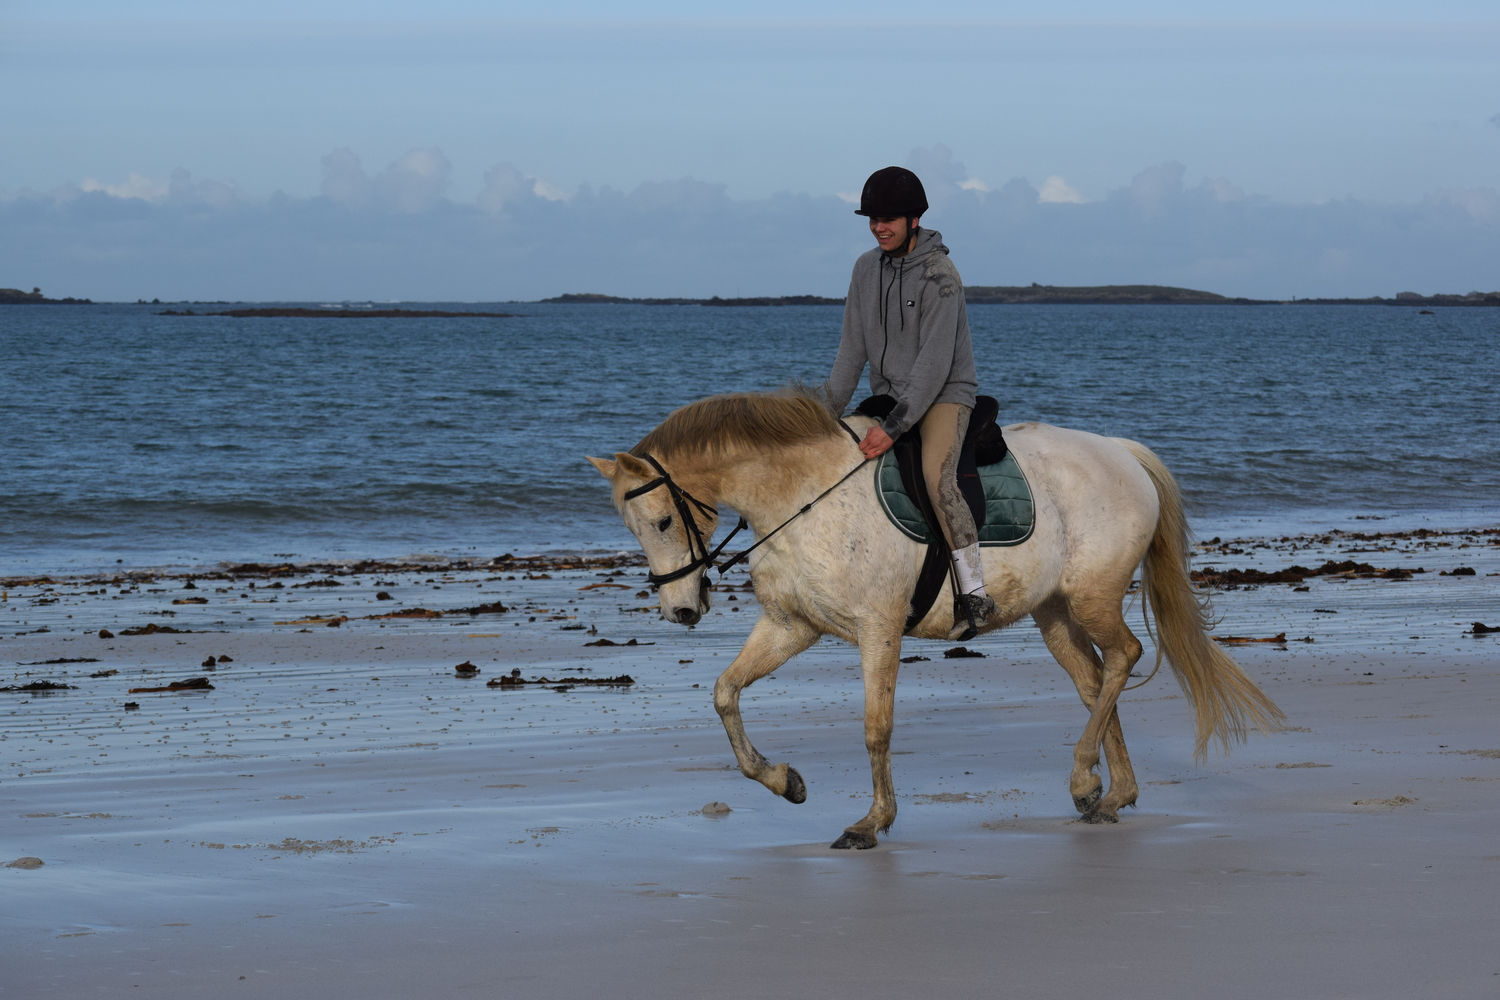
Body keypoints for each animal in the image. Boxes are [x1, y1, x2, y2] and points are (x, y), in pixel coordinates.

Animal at [585, 386, 1278, 851]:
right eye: (636, 529)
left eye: (664, 522)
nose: (680, 610)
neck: (803, 496)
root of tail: (1121, 453)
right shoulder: (791, 625)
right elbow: (725, 692)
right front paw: (786, 782)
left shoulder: (878, 628)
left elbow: (876, 728)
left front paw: (871, 823)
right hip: (1055, 613)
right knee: (1095, 680)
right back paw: (1107, 794)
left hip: (1094, 597)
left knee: (1124, 658)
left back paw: (1088, 779)